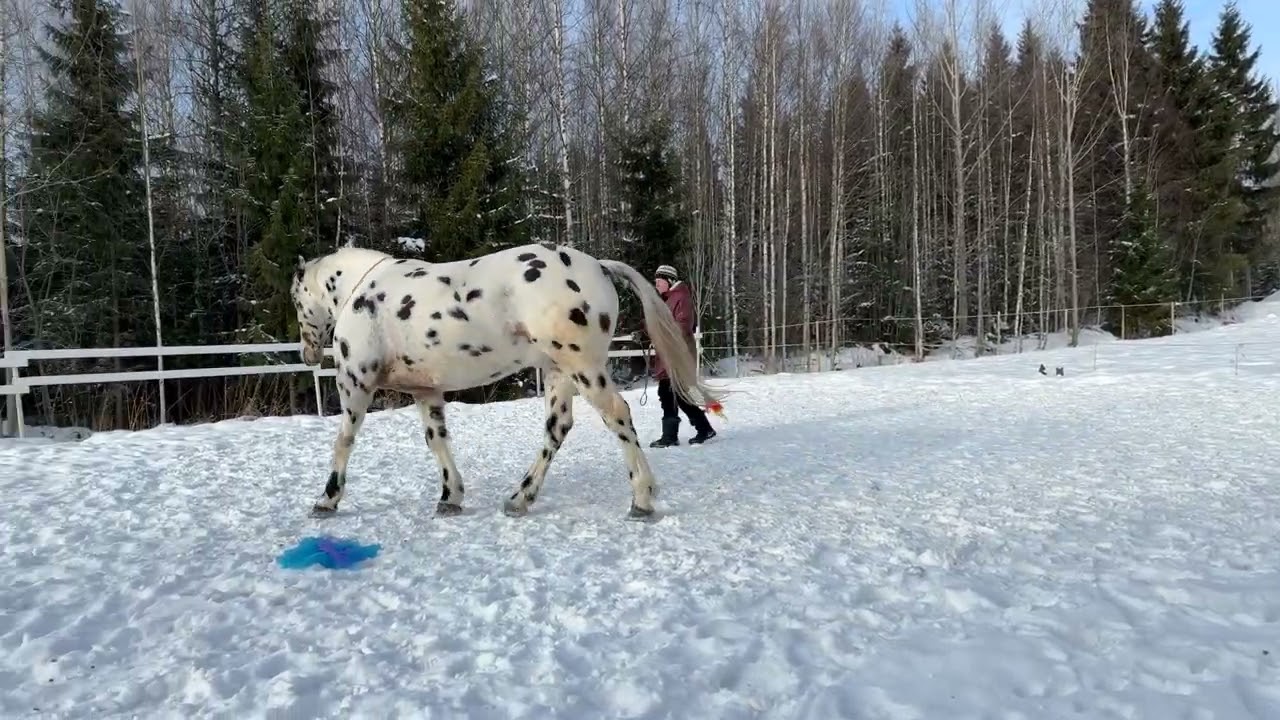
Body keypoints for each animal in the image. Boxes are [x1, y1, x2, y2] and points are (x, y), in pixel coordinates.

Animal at [290, 241, 723, 521]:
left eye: (296, 298)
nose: (308, 354)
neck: (364, 295)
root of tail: (598, 267)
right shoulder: (426, 391)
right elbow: (437, 441)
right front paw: (450, 497)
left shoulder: (355, 382)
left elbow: (344, 440)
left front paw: (327, 500)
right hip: (558, 372)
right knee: (557, 428)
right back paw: (519, 498)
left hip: (583, 366)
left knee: (617, 415)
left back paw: (642, 500)